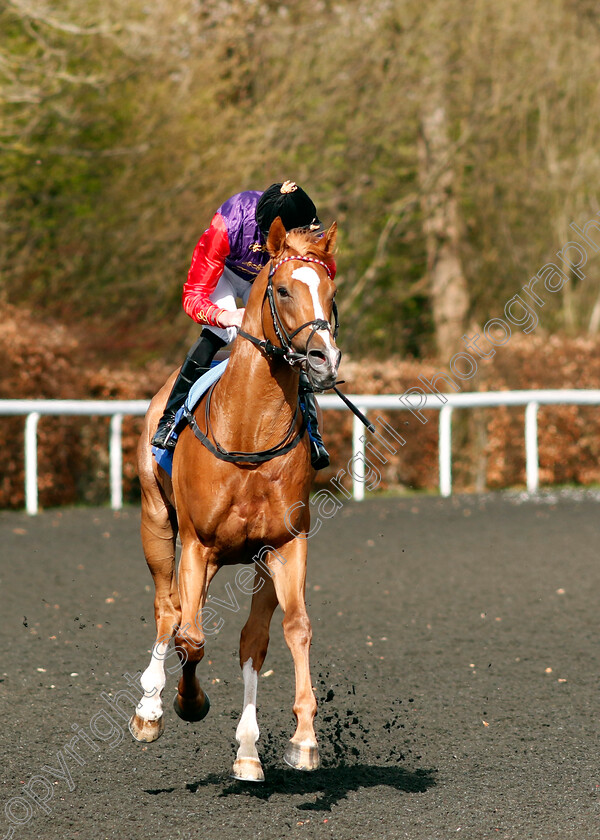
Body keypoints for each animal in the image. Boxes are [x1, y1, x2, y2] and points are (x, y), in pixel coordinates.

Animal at [129, 217, 340, 780]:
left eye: (332, 293)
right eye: (283, 289)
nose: (324, 359)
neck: (250, 431)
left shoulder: (286, 545)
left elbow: (293, 629)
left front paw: (303, 739)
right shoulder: (198, 545)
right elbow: (191, 635)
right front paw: (186, 703)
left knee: (250, 639)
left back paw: (247, 749)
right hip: (158, 525)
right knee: (169, 610)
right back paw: (150, 709)